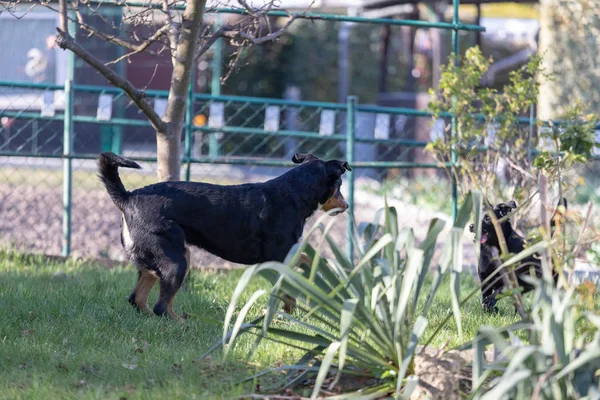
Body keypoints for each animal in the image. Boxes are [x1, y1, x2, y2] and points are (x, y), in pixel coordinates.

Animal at [98, 152, 352, 320]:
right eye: (339, 184)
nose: (347, 205)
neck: (295, 193)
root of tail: (127, 197)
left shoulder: (286, 255)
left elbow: (306, 264)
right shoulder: (278, 257)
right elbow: (288, 288)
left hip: (155, 262)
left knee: (138, 300)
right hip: (177, 261)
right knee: (161, 306)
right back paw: (181, 324)